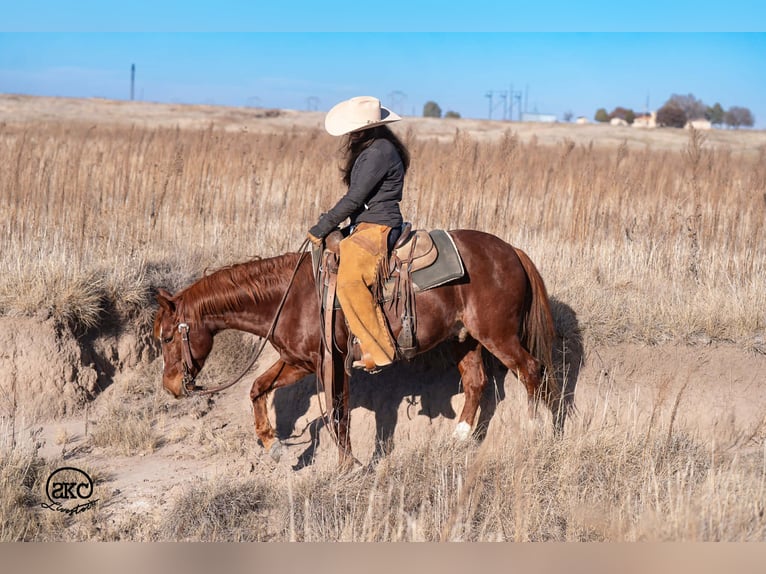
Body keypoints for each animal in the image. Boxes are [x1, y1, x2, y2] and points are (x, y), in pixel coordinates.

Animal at [153, 229, 566, 468]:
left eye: (167, 337)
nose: (171, 386)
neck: (291, 296)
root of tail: (511, 251)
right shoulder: (297, 361)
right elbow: (258, 388)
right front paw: (273, 444)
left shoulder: (330, 363)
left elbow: (339, 415)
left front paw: (345, 467)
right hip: (465, 339)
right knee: (477, 382)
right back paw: (460, 438)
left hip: (498, 335)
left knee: (531, 371)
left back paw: (536, 431)